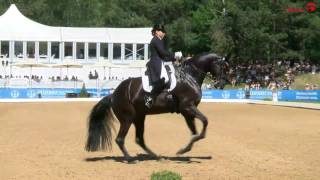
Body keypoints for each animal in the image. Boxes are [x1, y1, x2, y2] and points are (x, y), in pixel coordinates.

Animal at [86, 52, 229, 161]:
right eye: (223, 67)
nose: (221, 84)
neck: (189, 76)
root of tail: (113, 95)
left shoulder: (187, 111)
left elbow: (194, 132)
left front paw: (184, 150)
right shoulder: (187, 107)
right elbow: (205, 121)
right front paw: (187, 148)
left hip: (139, 118)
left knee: (139, 139)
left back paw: (156, 156)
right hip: (127, 119)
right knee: (120, 139)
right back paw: (130, 159)